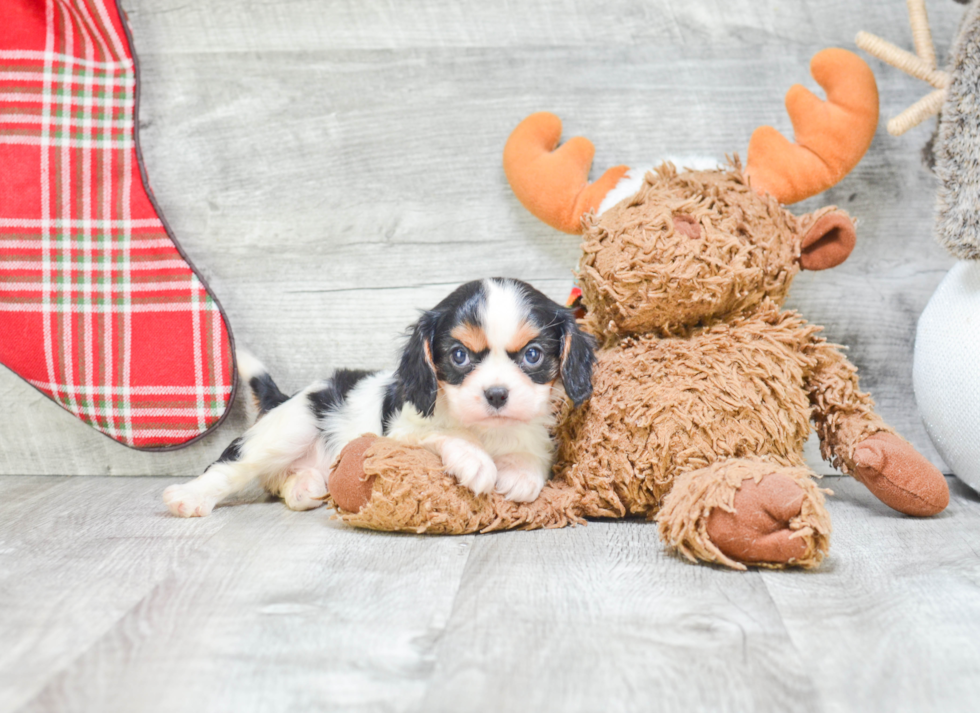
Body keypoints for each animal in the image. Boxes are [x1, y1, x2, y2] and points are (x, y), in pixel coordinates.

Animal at [164, 276, 592, 516]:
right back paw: (189, 497)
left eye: (533, 355)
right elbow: (447, 435)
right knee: (229, 466)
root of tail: (284, 397)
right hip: (291, 427)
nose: (497, 394)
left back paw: (305, 486)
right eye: (459, 355)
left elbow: (532, 452)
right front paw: (475, 460)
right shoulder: (402, 431)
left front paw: (521, 472)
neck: (488, 431)